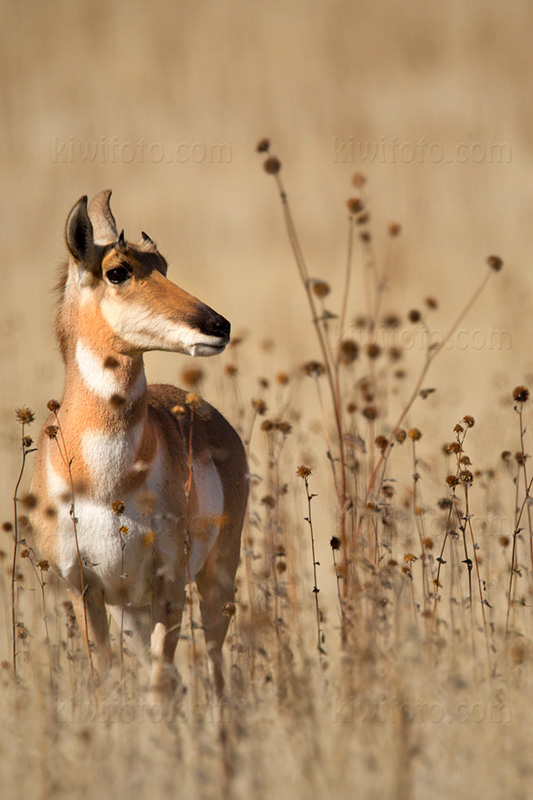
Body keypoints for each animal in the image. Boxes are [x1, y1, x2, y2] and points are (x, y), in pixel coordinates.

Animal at [31, 191, 249, 696]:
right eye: (118, 270)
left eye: (163, 264)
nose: (218, 325)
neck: (105, 483)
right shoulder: (84, 590)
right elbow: (103, 681)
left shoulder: (168, 587)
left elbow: (160, 687)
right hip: (131, 609)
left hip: (213, 582)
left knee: (217, 674)